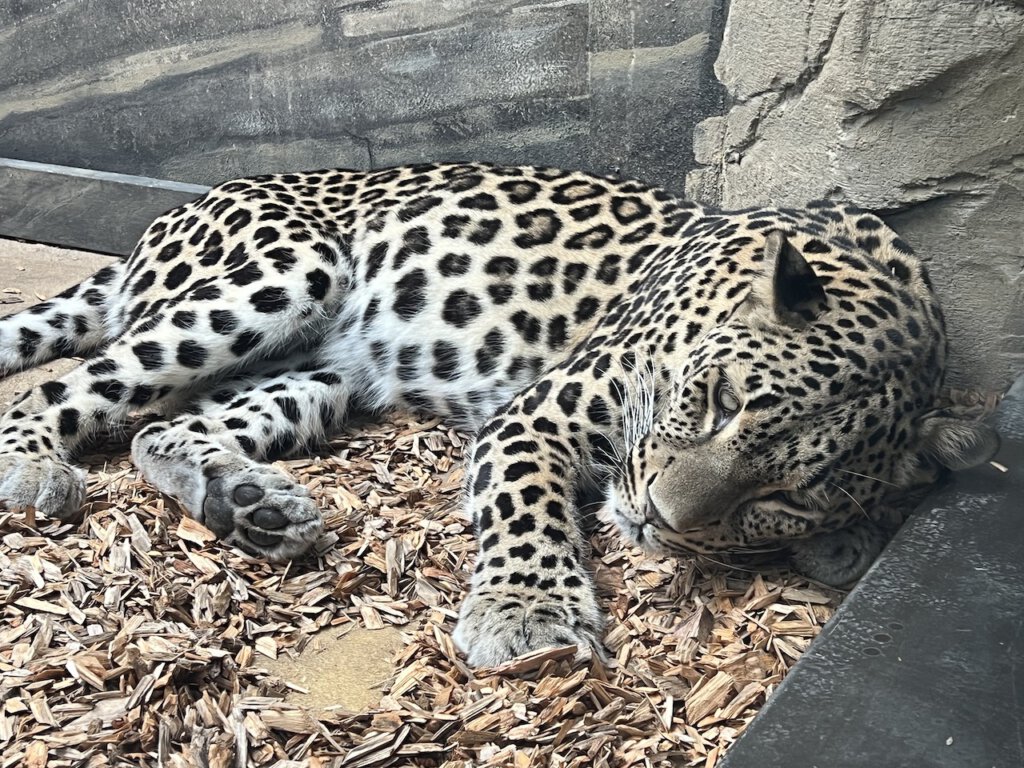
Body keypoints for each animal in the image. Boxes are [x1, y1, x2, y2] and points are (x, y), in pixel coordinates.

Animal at [0, 162, 999, 667]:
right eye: (718, 401)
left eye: (787, 497)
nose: (658, 516)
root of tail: (161, 221)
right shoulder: (539, 412)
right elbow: (527, 510)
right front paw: (526, 614)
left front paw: (848, 538)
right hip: (283, 272)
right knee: (69, 387)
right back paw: (34, 465)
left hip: (320, 371)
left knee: (160, 426)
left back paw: (252, 505)